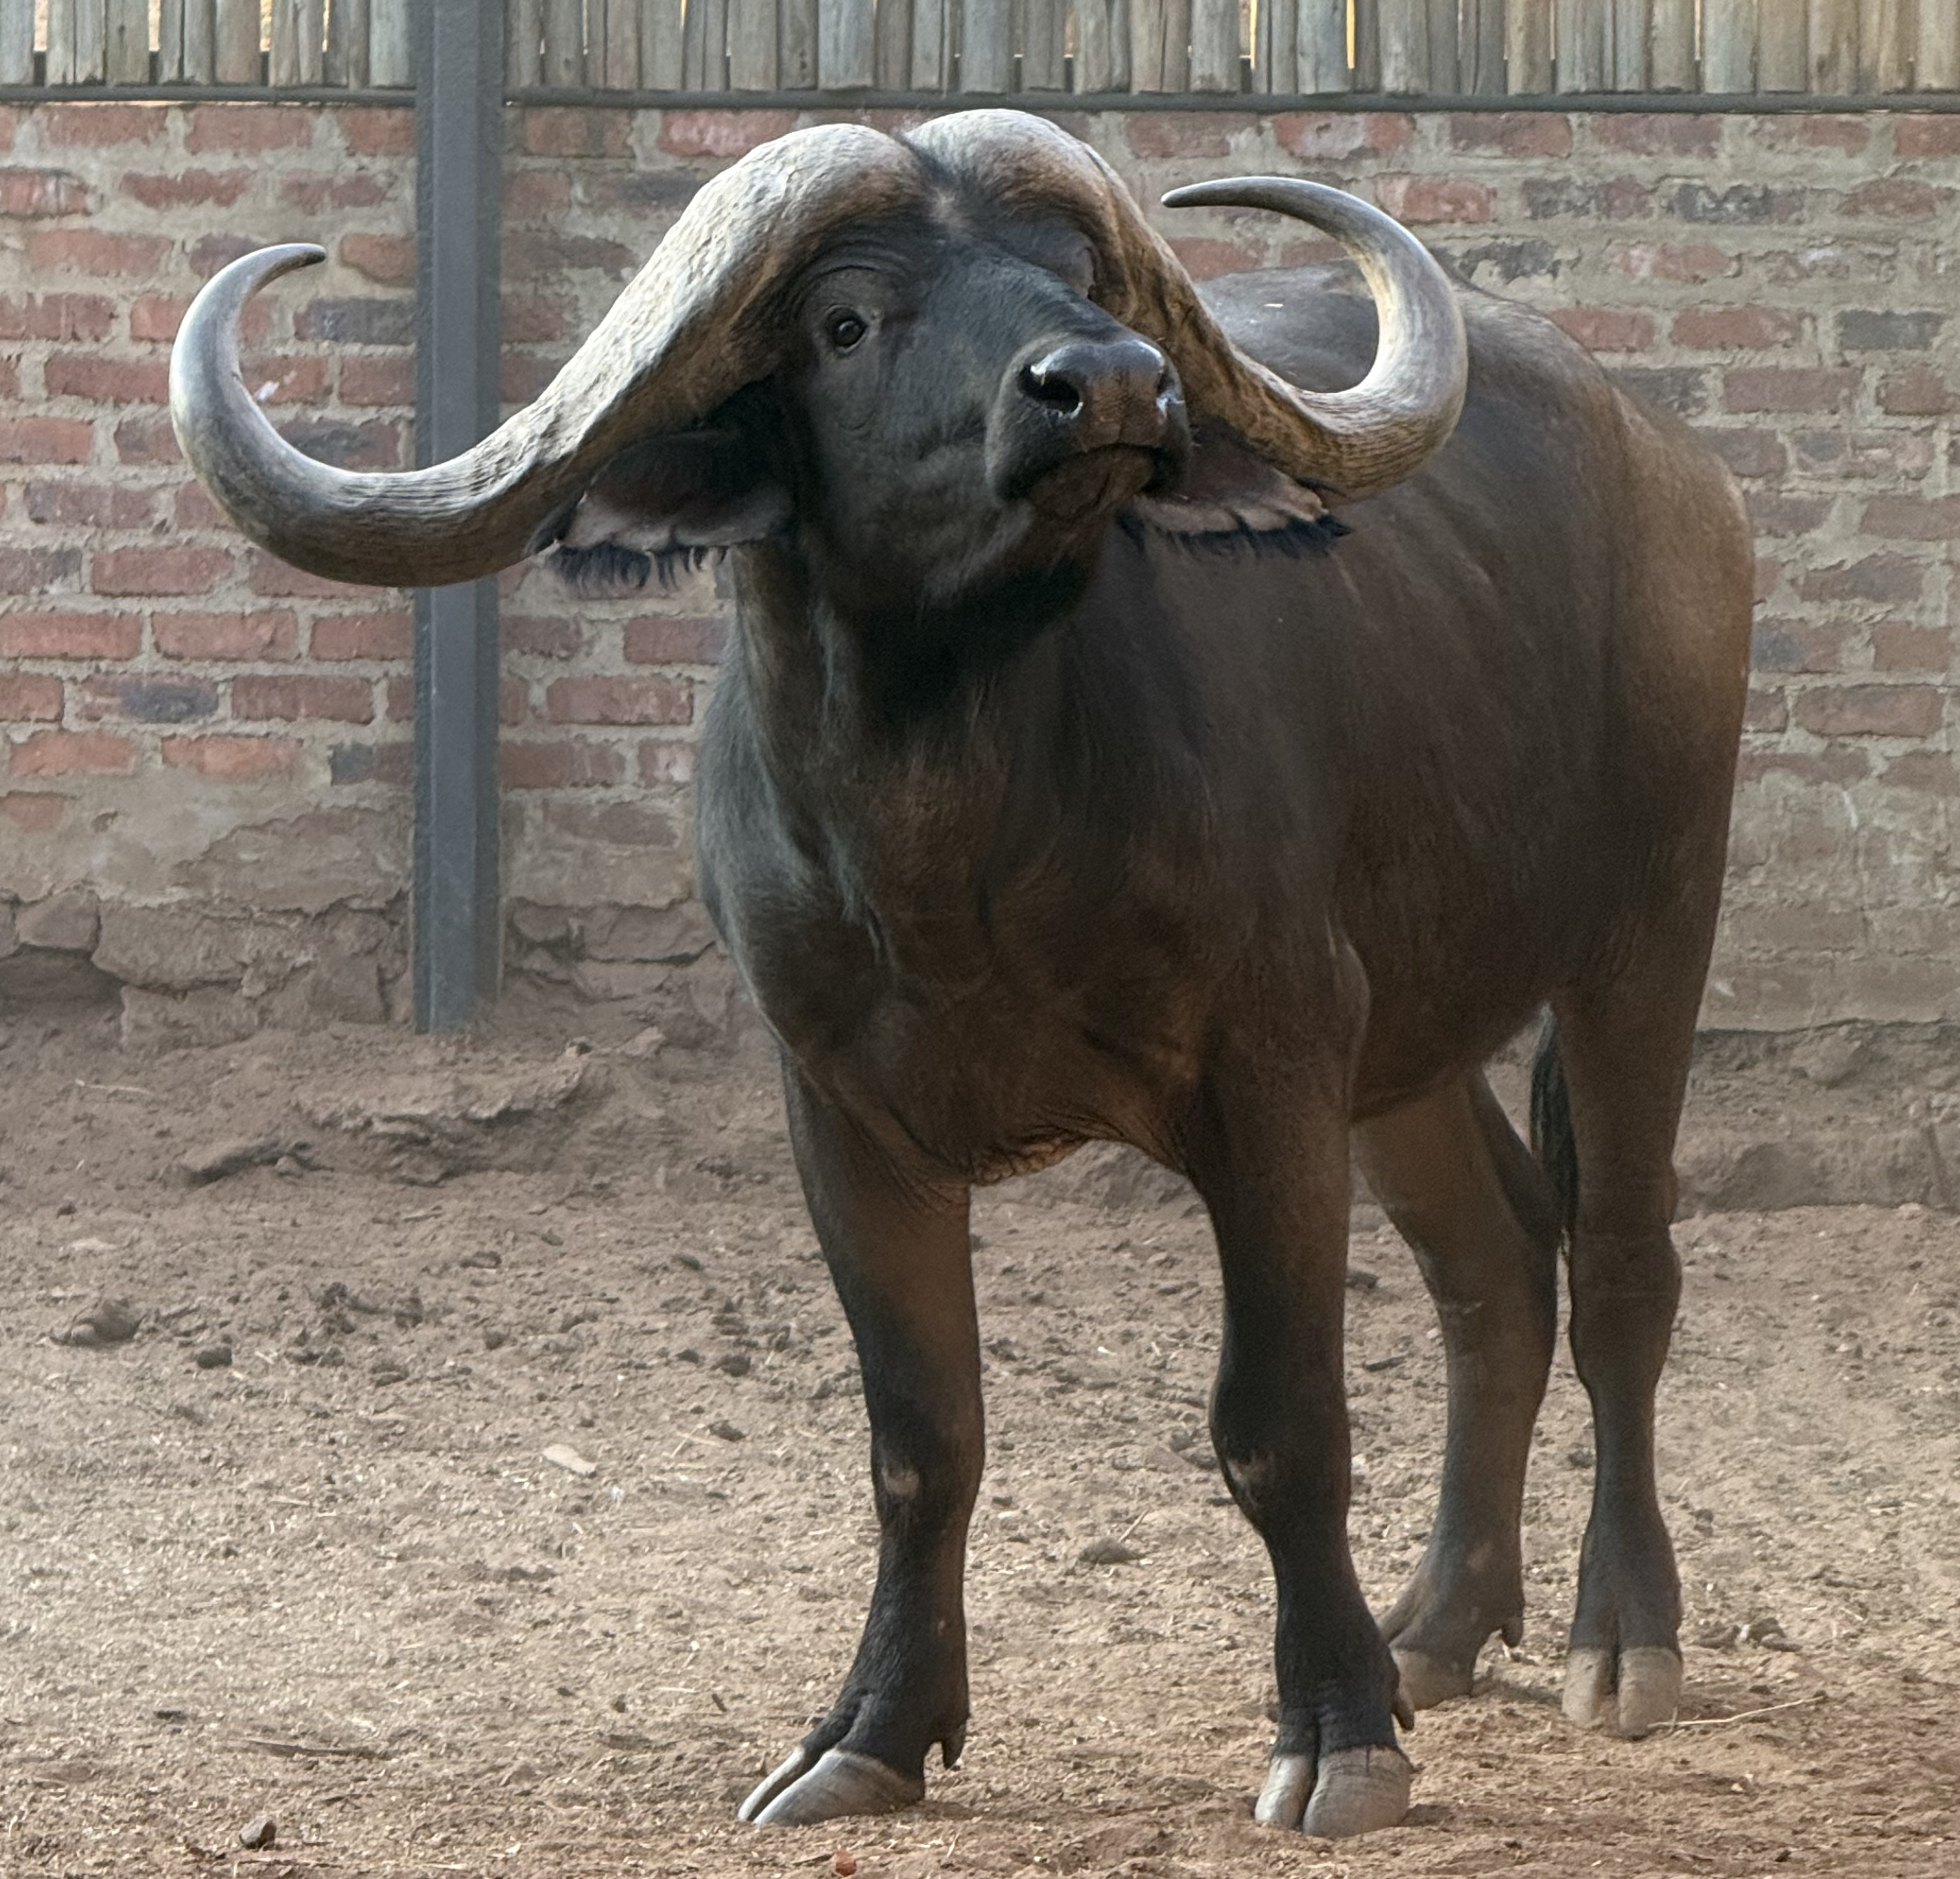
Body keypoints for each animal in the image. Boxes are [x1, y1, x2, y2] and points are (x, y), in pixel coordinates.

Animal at [170, 109, 1752, 1839]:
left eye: (1075, 274)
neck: (952, 847)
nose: (1114, 384)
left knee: (1620, 1268)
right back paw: (1440, 1626)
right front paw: (870, 1728)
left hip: (1648, 927)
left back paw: (1623, 1638)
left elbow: (1282, 1423)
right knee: (1496, 1264)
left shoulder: (1270, 1074)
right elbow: (923, 1434)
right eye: (846, 320)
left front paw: (1337, 1731)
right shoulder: (845, 1118)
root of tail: (1672, 469)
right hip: (1407, 1034)